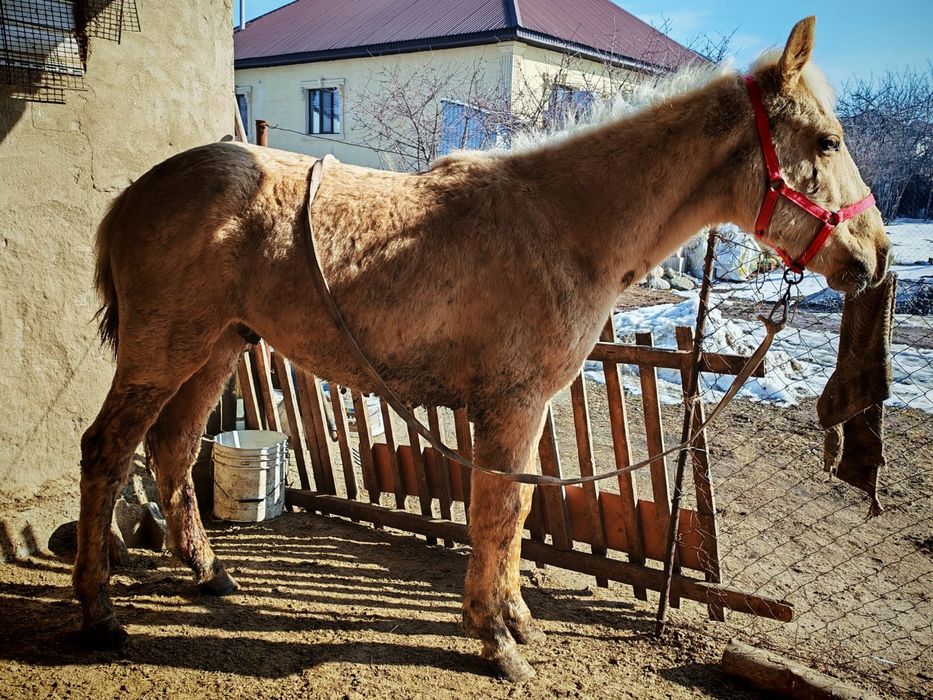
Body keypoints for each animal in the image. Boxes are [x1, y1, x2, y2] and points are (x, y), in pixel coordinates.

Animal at [75, 17, 889, 681]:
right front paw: (495, 639)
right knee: (107, 450)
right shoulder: (511, 408)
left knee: (174, 449)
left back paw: (207, 572)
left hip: (216, 349)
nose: (875, 256)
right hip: (162, 353)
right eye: (826, 142)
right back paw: (99, 613)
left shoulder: (522, 412)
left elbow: (517, 508)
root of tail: (136, 193)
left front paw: (515, 619)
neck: (562, 223)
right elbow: (498, 512)